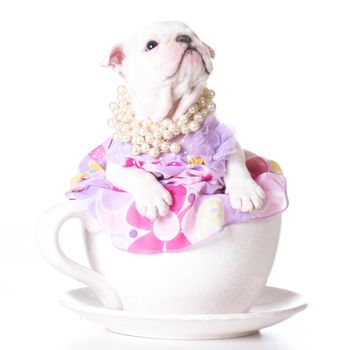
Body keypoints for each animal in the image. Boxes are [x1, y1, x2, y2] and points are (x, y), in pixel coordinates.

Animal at [102, 20, 264, 220]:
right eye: (151, 45)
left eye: (194, 35)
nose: (184, 37)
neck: (172, 115)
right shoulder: (115, 164)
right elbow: (136, 174)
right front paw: (152, 196)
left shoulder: (227, 140)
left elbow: (235, 162)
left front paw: (246, 190)